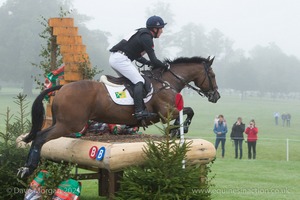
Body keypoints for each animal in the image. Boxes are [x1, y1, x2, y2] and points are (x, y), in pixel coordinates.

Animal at [18, 55, 220, 177]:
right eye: (212, 75)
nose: (216, 96)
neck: (167, 81)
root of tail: (62, 87)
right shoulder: (165, 112)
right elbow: (189, 111)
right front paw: (180, 129)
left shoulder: (167, 113)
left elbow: (184, 114)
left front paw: (175, 132)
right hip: (69, 124)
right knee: (40, 137)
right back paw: (27, 169)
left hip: (63, 123)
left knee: (39, 136)